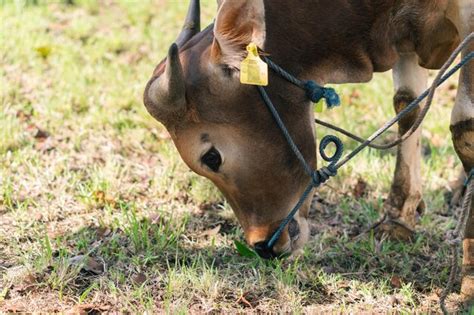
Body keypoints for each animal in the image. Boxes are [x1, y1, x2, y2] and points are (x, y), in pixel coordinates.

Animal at [144, 0, 474, 302]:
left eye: (212, 157)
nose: (262, 246)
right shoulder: (403, 40)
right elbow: (408, 106)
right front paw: (399, 216)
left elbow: (463, 126)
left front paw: (468, 281)